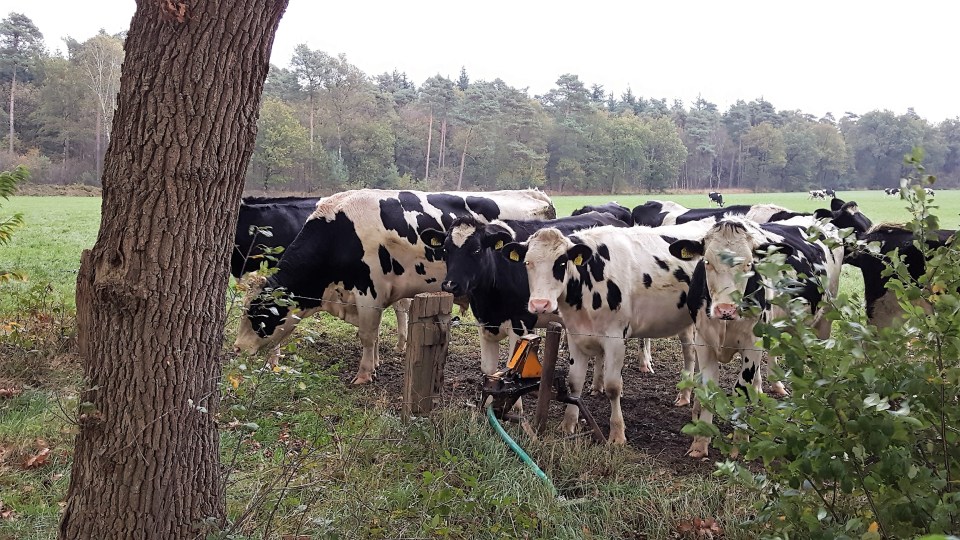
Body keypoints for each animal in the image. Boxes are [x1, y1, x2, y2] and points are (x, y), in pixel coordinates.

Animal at [234, 189, 555, 384]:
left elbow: (367, 335)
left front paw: (364, 374)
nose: (237, 348)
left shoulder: (368, 290)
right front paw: (375, 363)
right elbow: (374, 336)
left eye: (259, 313)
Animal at [419, 212, 629, 377]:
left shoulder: (522, 322)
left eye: (476, 250)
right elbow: (488, 369)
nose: (450, 284)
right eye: (445, 249)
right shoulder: (483, 323)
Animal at [501, 219, 716, 444]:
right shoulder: (575, 336)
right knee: (692, 354)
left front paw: (617, 434)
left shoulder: (615, 339)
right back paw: (688, 399)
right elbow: (574, 383)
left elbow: (613, 387)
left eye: (561, 263)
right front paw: (568, 425)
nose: (539, 304)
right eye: (528, 263)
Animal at [668, 215, 845, 457]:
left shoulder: (752, 343)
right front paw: (700, 441)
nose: (725, 309)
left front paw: (740, 441)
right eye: (707, 262)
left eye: (749, 264)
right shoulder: (704, 340)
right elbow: (708, 389)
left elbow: (741, 388)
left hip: (824, 319)